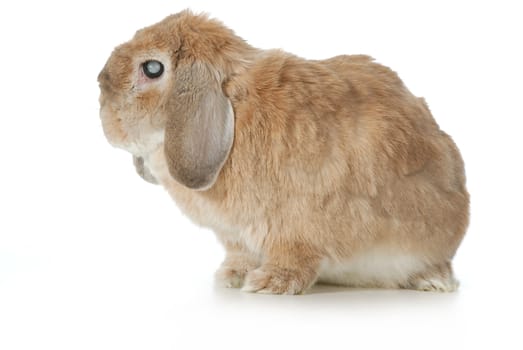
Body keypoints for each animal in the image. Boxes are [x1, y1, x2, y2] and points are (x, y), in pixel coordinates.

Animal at [98, 10, 470, 296]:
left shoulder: (297, 227)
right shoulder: (235, 237)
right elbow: (240, 255)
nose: (101, 92)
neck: (236, 110)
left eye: (153, 69)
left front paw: (268, 283)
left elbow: (295, 256)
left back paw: (434, 281)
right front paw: (232, 276)